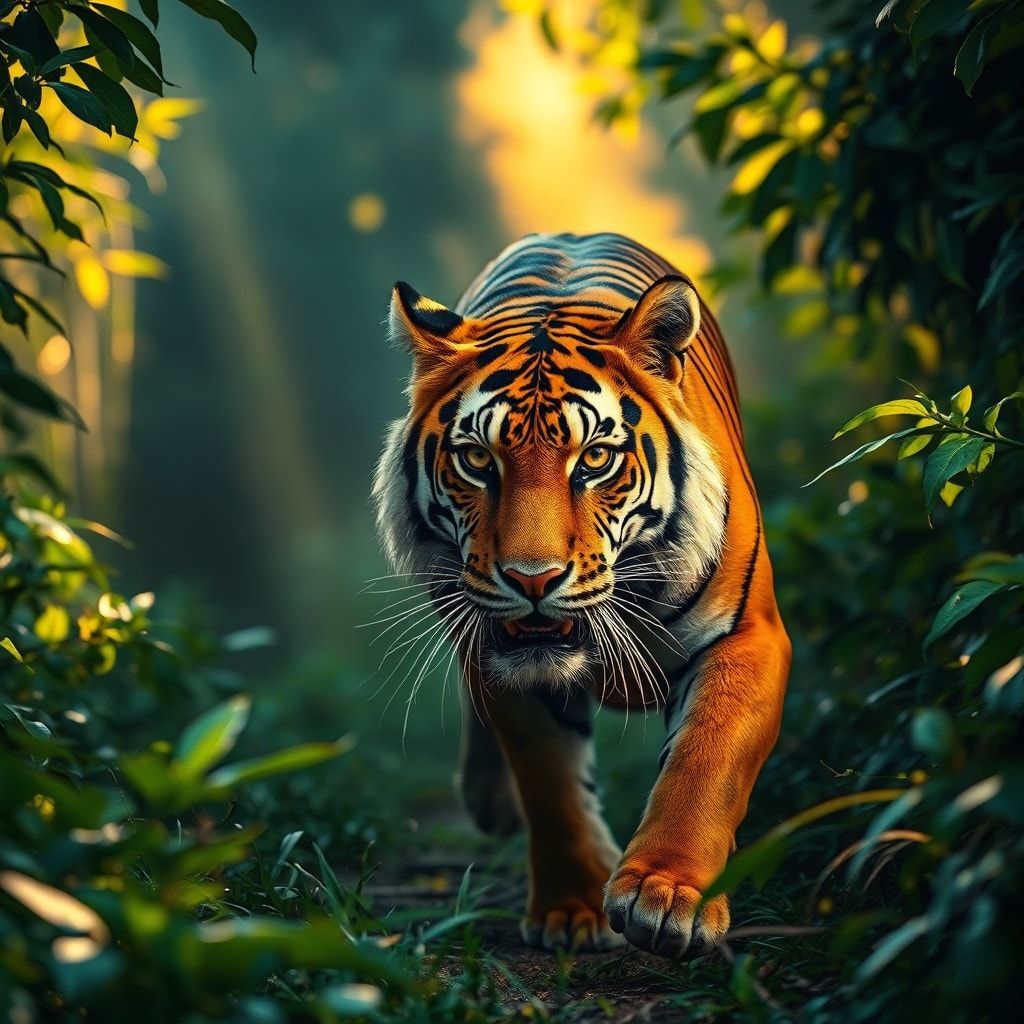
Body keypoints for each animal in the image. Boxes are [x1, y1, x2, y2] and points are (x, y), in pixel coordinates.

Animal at [373, 232, 791, 958]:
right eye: (478, 461)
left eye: (595, 459)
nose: (531, 579)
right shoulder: (511, 657)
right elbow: (552, 787)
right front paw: (571, 912)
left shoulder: (749, 635)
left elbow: (705, 761)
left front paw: (667, 896)